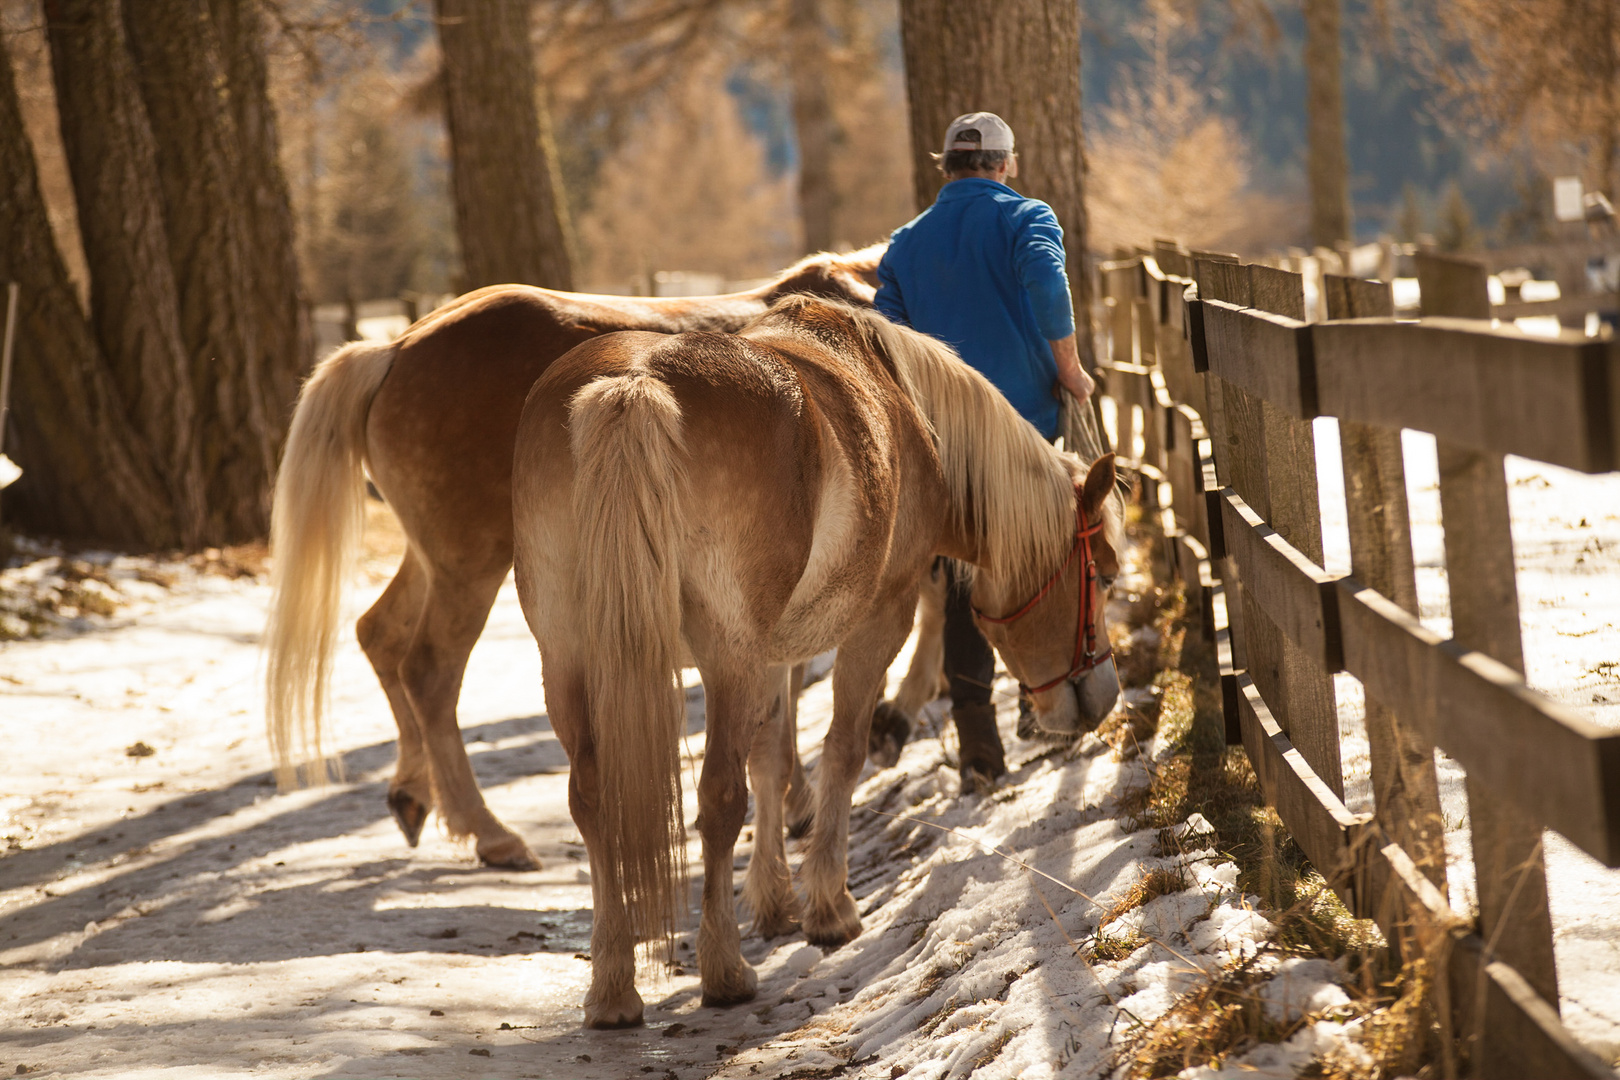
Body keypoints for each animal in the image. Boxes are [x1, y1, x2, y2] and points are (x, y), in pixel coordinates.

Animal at [262, 247, 887, 867]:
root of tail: (393, 349)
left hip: (439, 557)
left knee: (381, 634)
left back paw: (415, 795)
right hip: (472, 562)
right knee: (428, 671)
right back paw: (490, 833)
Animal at [511, 297, 1121, 1029]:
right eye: (1105, 575)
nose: (1101, 693)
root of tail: (634, 384)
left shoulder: (775, 653)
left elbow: (773, 758)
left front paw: (775, 899)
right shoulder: (879, 619)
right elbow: (841, 749)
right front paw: (829, 905)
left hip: (568, 660)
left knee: (595, 798)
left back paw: (612, 988)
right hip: (725, 660)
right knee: (719, 798)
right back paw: (725, 971)